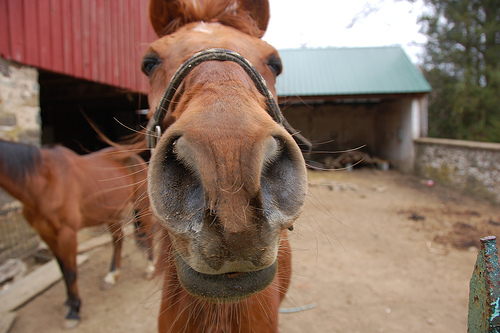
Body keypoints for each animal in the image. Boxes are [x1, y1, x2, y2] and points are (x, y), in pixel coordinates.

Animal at [0, 139, 155, 326]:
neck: (43, 183)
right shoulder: (47, 235)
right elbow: (62, 270)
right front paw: (69, 302)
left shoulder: (67, 233)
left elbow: (71, 271)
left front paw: (74, 310)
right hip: (111, 212)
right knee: (118, 239)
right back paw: (112, 275)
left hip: (142, 206)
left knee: (148, 233)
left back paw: (150, 268)